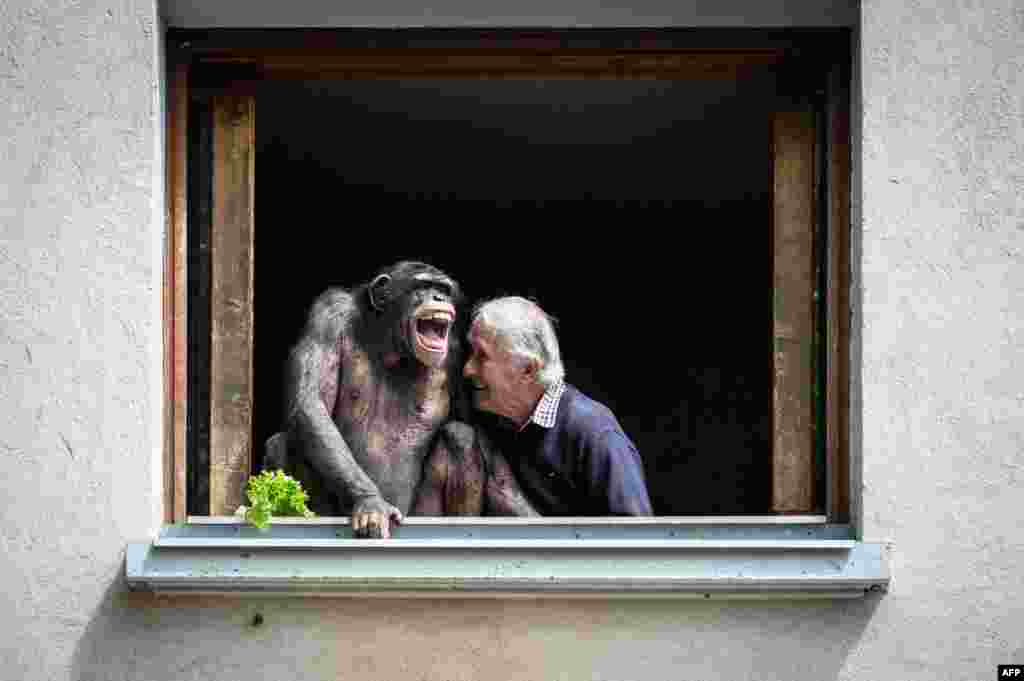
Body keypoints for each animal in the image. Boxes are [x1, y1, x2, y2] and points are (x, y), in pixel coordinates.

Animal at [264, 261, 536, 536]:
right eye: (423, 286)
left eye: (443, 290)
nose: (439, 298)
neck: (392, 346)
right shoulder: (328, 314)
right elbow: (312, 402)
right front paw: (370, 502)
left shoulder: (457, 354)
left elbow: (477, 434)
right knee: (285, 441)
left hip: (421, 514)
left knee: (460, 436)